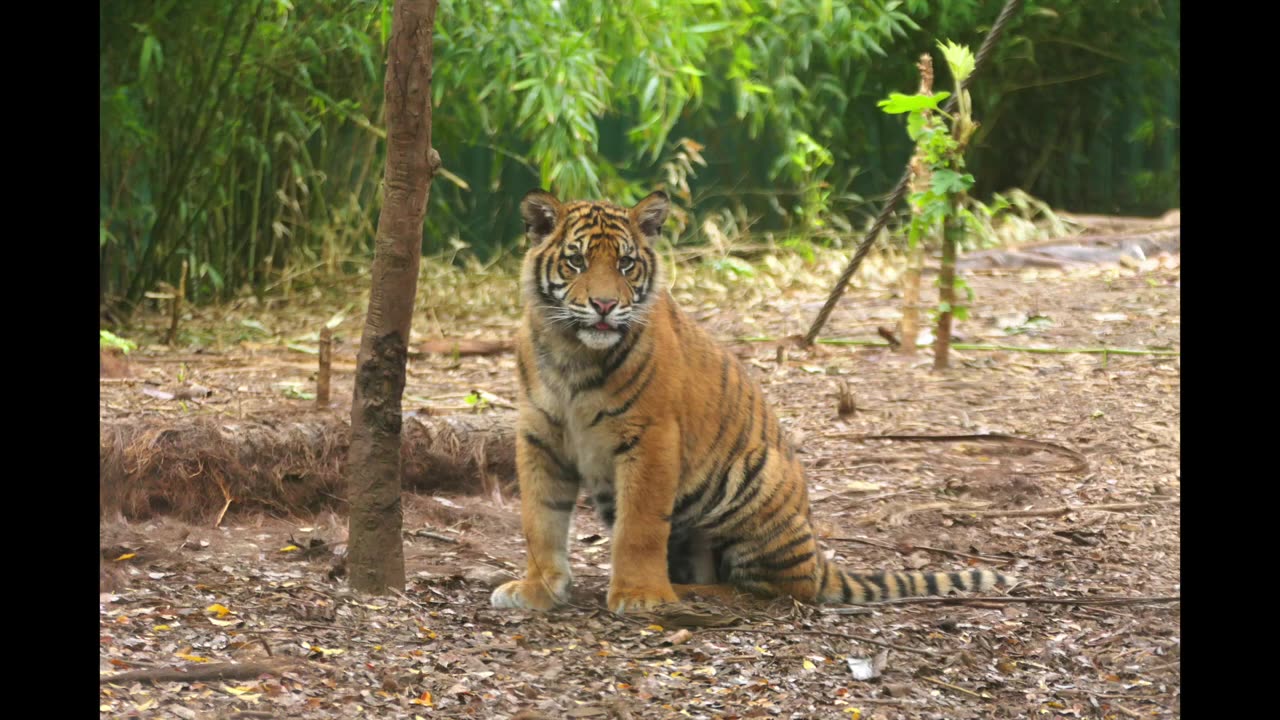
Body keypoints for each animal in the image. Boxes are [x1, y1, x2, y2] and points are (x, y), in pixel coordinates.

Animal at [488, 189, 1008, 609]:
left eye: (626, 264)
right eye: (576, 262)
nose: (603, 305)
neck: (572, 352)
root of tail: (818, 556)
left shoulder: (651, 437)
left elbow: (639, 527)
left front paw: (640, 596)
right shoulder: (541, 438)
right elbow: (540, 521)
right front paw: (537, 589)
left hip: (754, 474)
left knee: (772, 587)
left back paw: (688, 593)